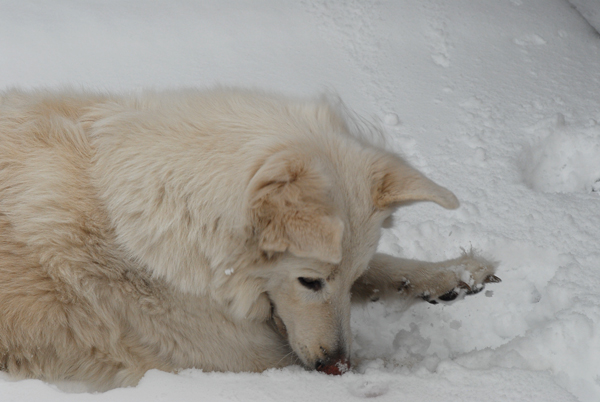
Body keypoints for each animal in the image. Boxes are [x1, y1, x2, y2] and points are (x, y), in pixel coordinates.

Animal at [0, 88, 499, 390]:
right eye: (309, 282)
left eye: (349, 275)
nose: (335, 363)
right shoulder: (241, 360)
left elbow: (382, 270)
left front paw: (452, 274)